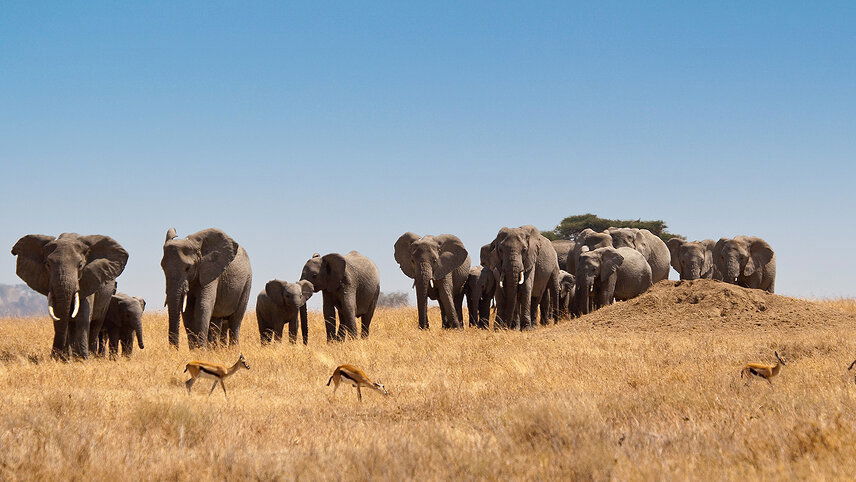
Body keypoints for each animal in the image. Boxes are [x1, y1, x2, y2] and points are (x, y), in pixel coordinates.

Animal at [10, 232, 127, 360]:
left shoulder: (89, 279)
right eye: (48, 264)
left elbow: (83, 316)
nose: (54, 355)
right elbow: (58, 314)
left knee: (96, 324)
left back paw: (91, 355)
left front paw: (82, 359)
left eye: (80, 265)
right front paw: (63, 359)